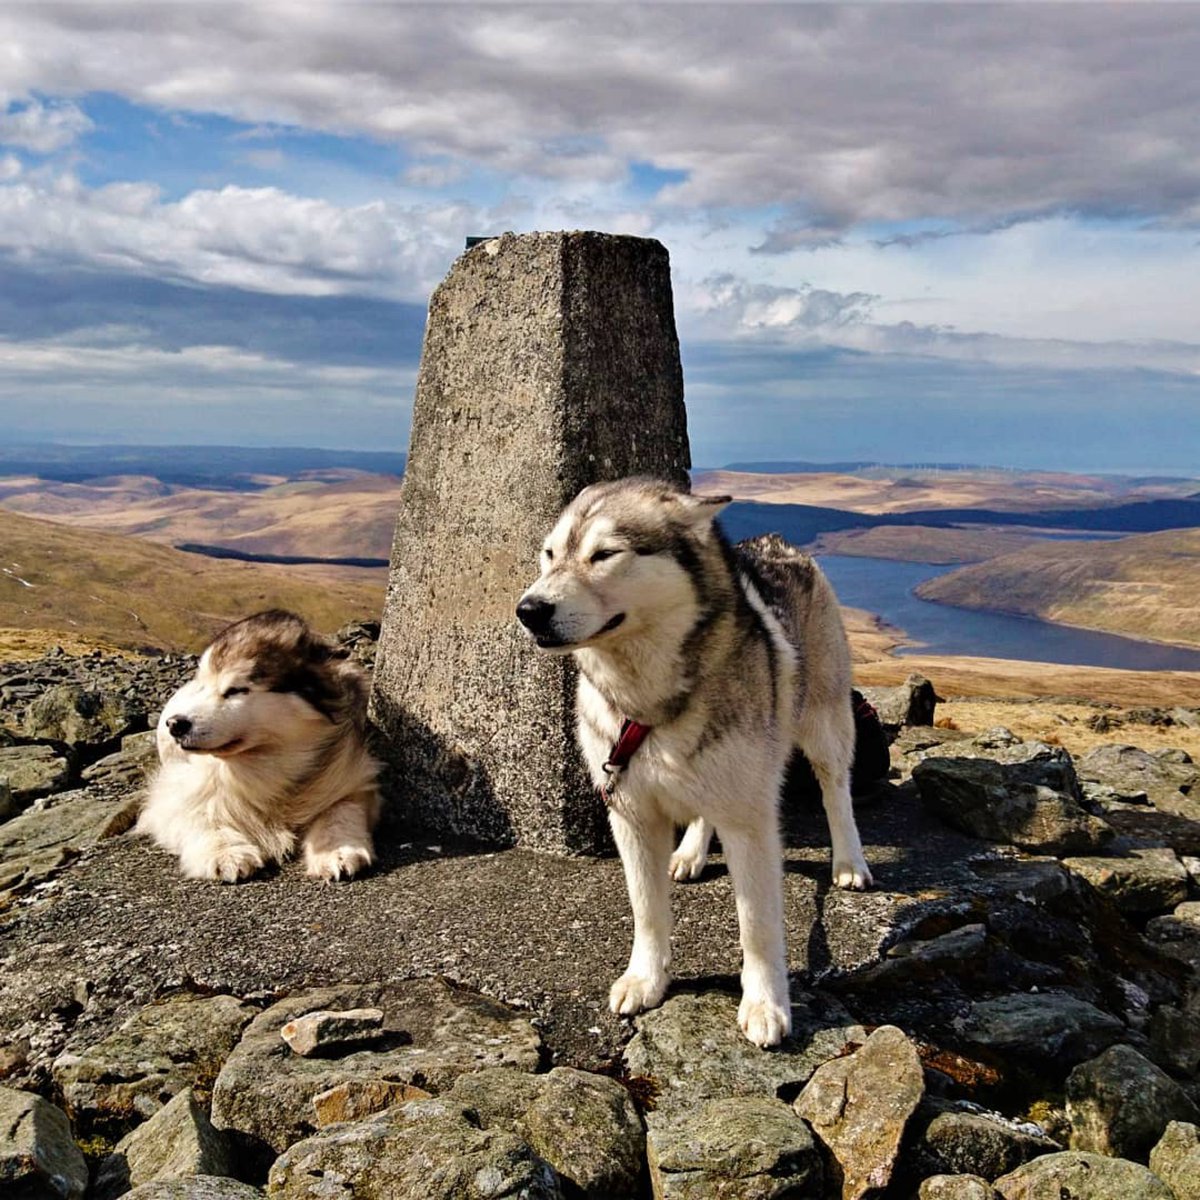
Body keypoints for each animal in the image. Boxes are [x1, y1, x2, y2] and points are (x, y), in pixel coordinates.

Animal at [139, 609, 384, 883]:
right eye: (203, 686)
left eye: (236, 690)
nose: (175, 724)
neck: (264, 763)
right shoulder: (173, 795)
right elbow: (200, 815)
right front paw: (226, 853)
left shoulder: (354, 778)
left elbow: (340, 810)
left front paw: (338, 851)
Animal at [516, 475, 873, 1041]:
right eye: (549, 555)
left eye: (604, 554)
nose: (528, 610)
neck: (648, 702)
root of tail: (778, 541)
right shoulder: (632, 815)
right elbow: (647, 909)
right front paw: (646, 979)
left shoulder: (750, 819)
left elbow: (757, 925)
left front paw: (765, 1004)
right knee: (704, 810)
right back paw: (690, 853)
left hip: (824, 722)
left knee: (835, 789)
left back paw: (849, 862)